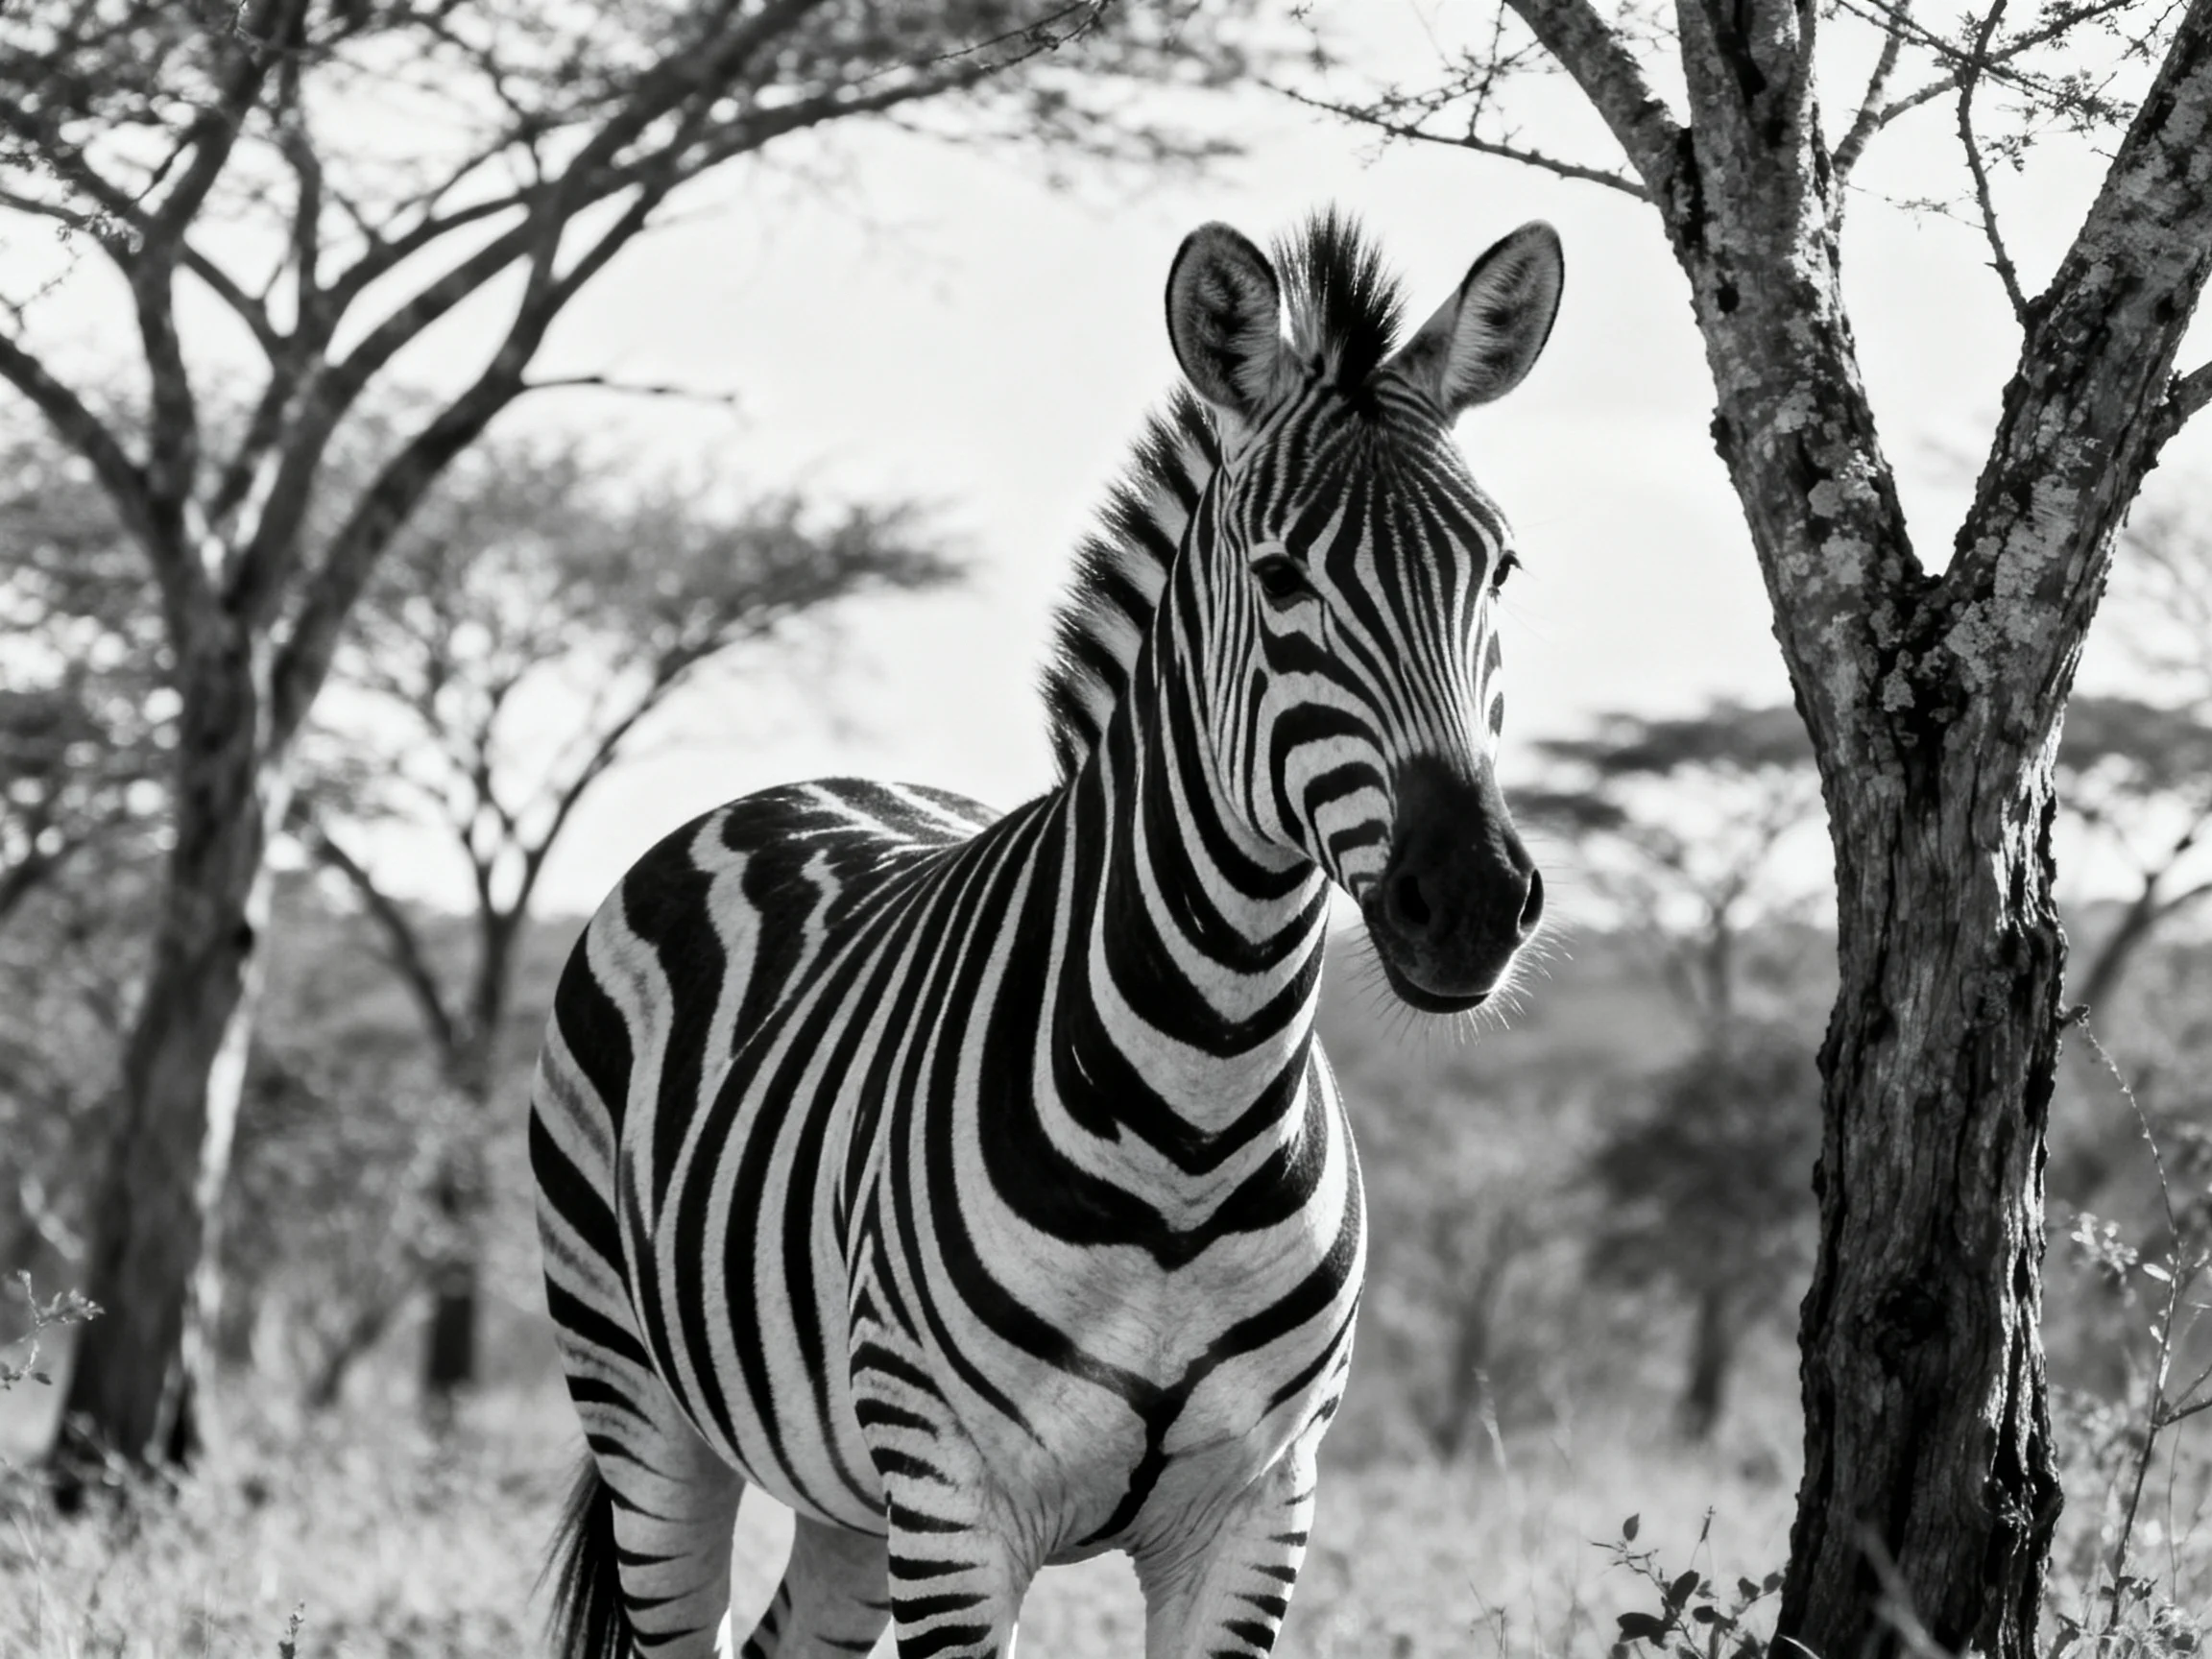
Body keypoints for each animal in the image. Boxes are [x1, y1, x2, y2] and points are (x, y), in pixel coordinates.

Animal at [532, 208, 1563, 1659]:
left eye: (1500, 568)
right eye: (1281, 577)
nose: (1467, 902)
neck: (1195, 1124)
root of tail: (796, 787)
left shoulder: (1258, 1511)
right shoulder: (957, 1506)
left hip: (846, 1484)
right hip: (642, 1405)